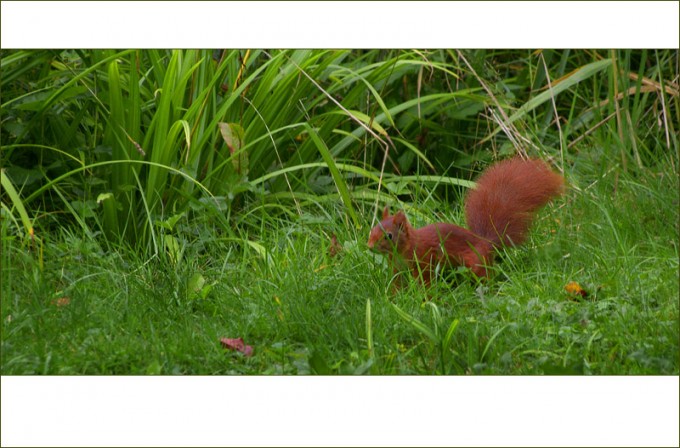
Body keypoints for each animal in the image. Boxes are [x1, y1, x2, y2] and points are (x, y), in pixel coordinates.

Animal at [367, 157, 565, 285]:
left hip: (475, 262)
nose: (369, 246)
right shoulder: (397, 268)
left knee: (485, 276)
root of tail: (486, 242)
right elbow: (396, 285)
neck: (405, 248)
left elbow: (426, 283)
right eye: (372, 230)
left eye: (389, 235)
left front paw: (425, 299)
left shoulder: (424, 260)